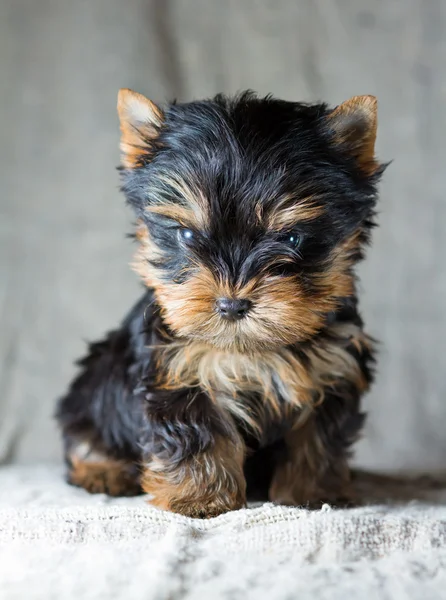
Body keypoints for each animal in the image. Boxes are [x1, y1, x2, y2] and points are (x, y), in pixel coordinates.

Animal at [55, 88, 384, 516]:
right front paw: (200, 498)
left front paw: (313, 493)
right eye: (188, 236)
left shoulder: (332, 369)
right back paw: (103, 471)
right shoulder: (179, 370)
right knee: (85, 433)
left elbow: (317, 438)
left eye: (292, 238)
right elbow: (197, 434)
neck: (252, 350)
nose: (232, 305)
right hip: (91, 388)